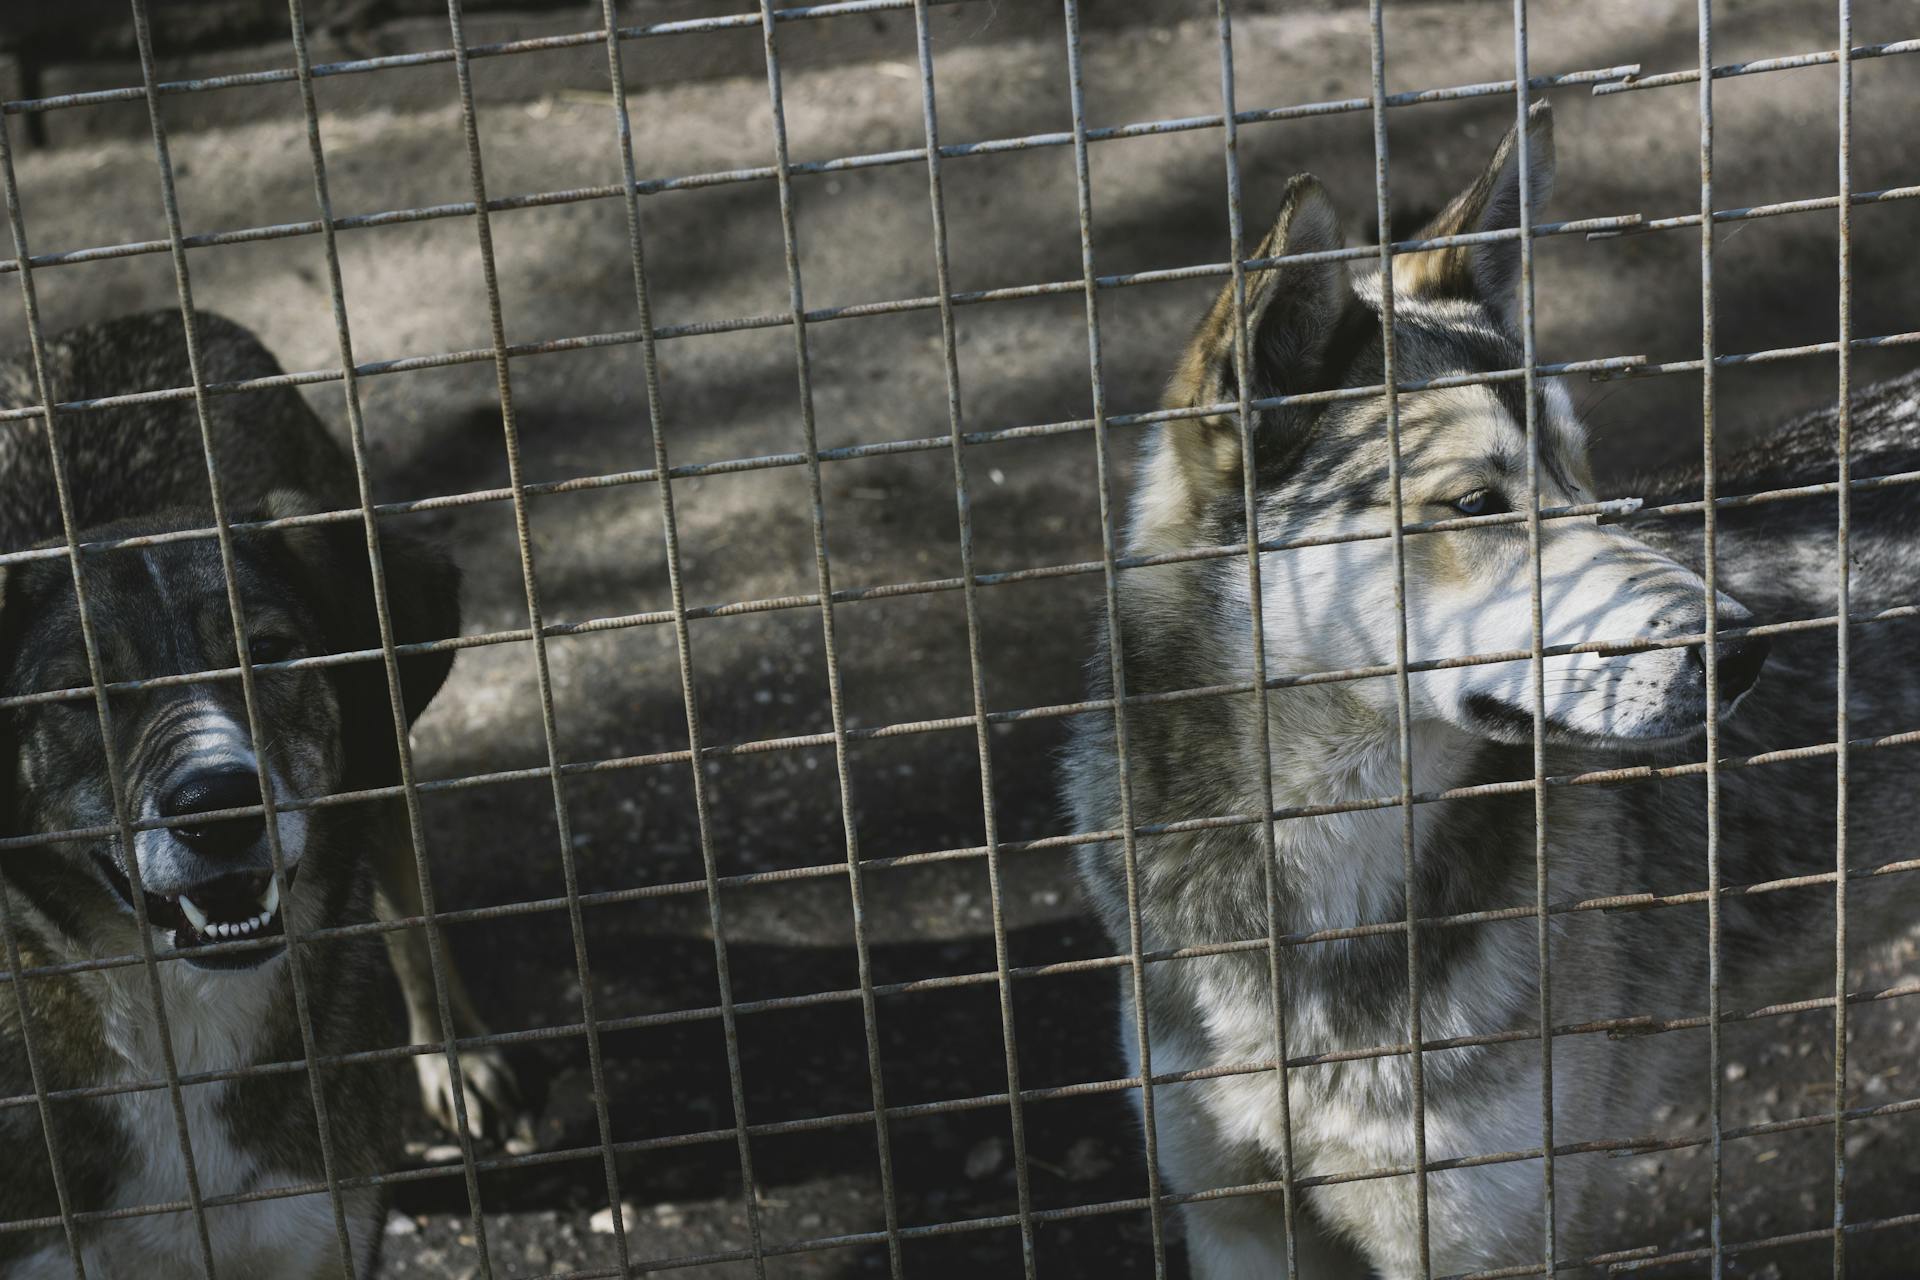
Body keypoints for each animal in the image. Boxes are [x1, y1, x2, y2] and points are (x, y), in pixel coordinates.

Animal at [0, 312, 522, 1280]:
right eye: (82, 691)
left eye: (269, 652)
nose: (218, 803)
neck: (183, 1019)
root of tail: (136, 319)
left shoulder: (319, 1230)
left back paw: (460, 1059)